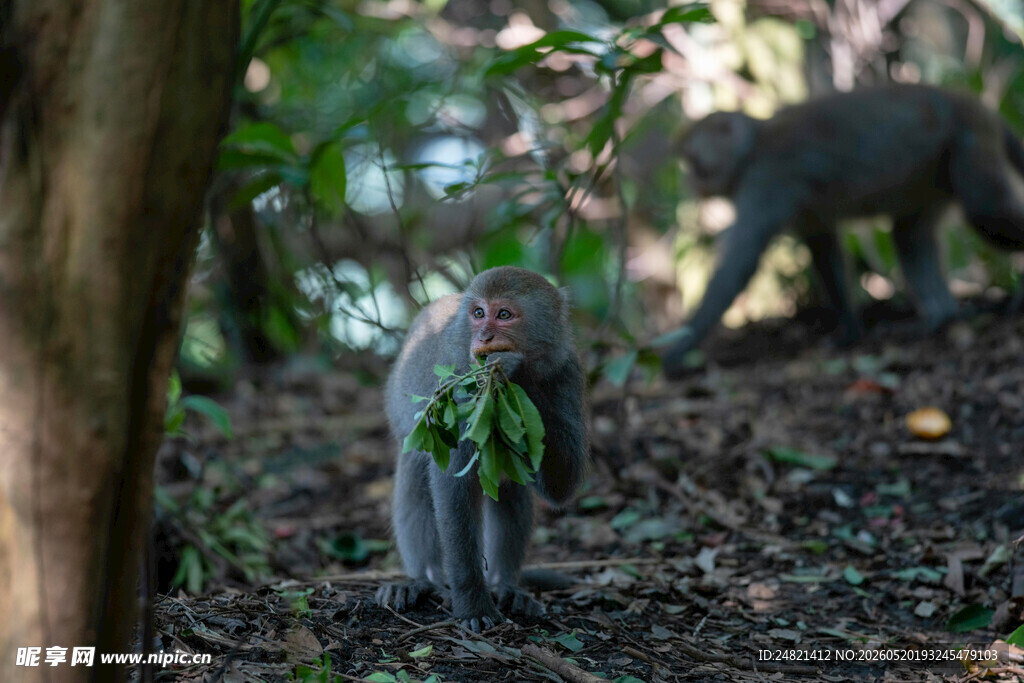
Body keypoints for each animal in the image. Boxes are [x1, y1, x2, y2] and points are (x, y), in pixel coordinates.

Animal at [376, 266, 588, 632]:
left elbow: (562, 485)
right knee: (416, 474)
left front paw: (511, 370)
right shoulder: (458, 383)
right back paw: (422, 581)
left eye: (503, 315)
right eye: (478, 314)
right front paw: (472, 603)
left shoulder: (565, 372)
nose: (485, 337)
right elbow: (452, 486)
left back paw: (506, 586)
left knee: (511, 487)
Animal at [661, 84, 1024, 378]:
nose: (689, 182)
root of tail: (974, 104)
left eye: (692, 160)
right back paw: (940, 317)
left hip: (968, 143)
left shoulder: (768, 178)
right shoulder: (798, 205)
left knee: (985, 211)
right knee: (907, 235)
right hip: (933, 174)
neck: (753, 145)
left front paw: (676, 350)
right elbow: (823, 246)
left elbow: (739, 265)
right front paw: (849, 330)